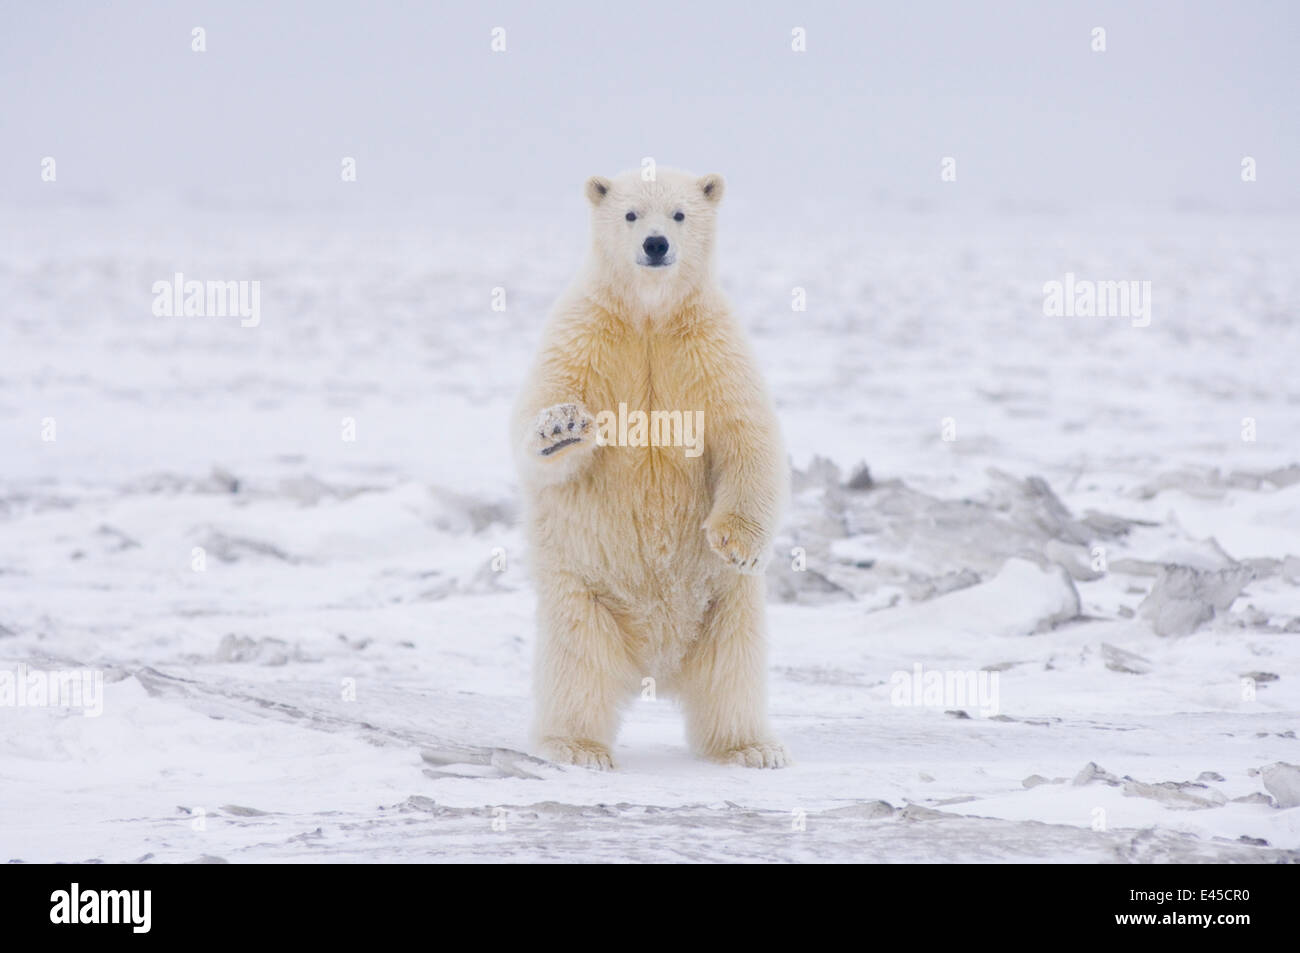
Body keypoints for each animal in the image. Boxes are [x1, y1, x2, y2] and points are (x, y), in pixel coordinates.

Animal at [512, 167, 785, 769]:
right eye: (631, 213)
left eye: (680, 214)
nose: (655, 244)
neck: (650, 316)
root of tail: (655, 664)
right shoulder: (586, 334)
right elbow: (540, 421)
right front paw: (561, 427)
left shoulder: (711, 346)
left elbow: (746, 435)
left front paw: (737, 542)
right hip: (583, 594)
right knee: (577, 668)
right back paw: (577, 747)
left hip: (726, 605)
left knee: (734, 671)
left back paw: (752, 747)